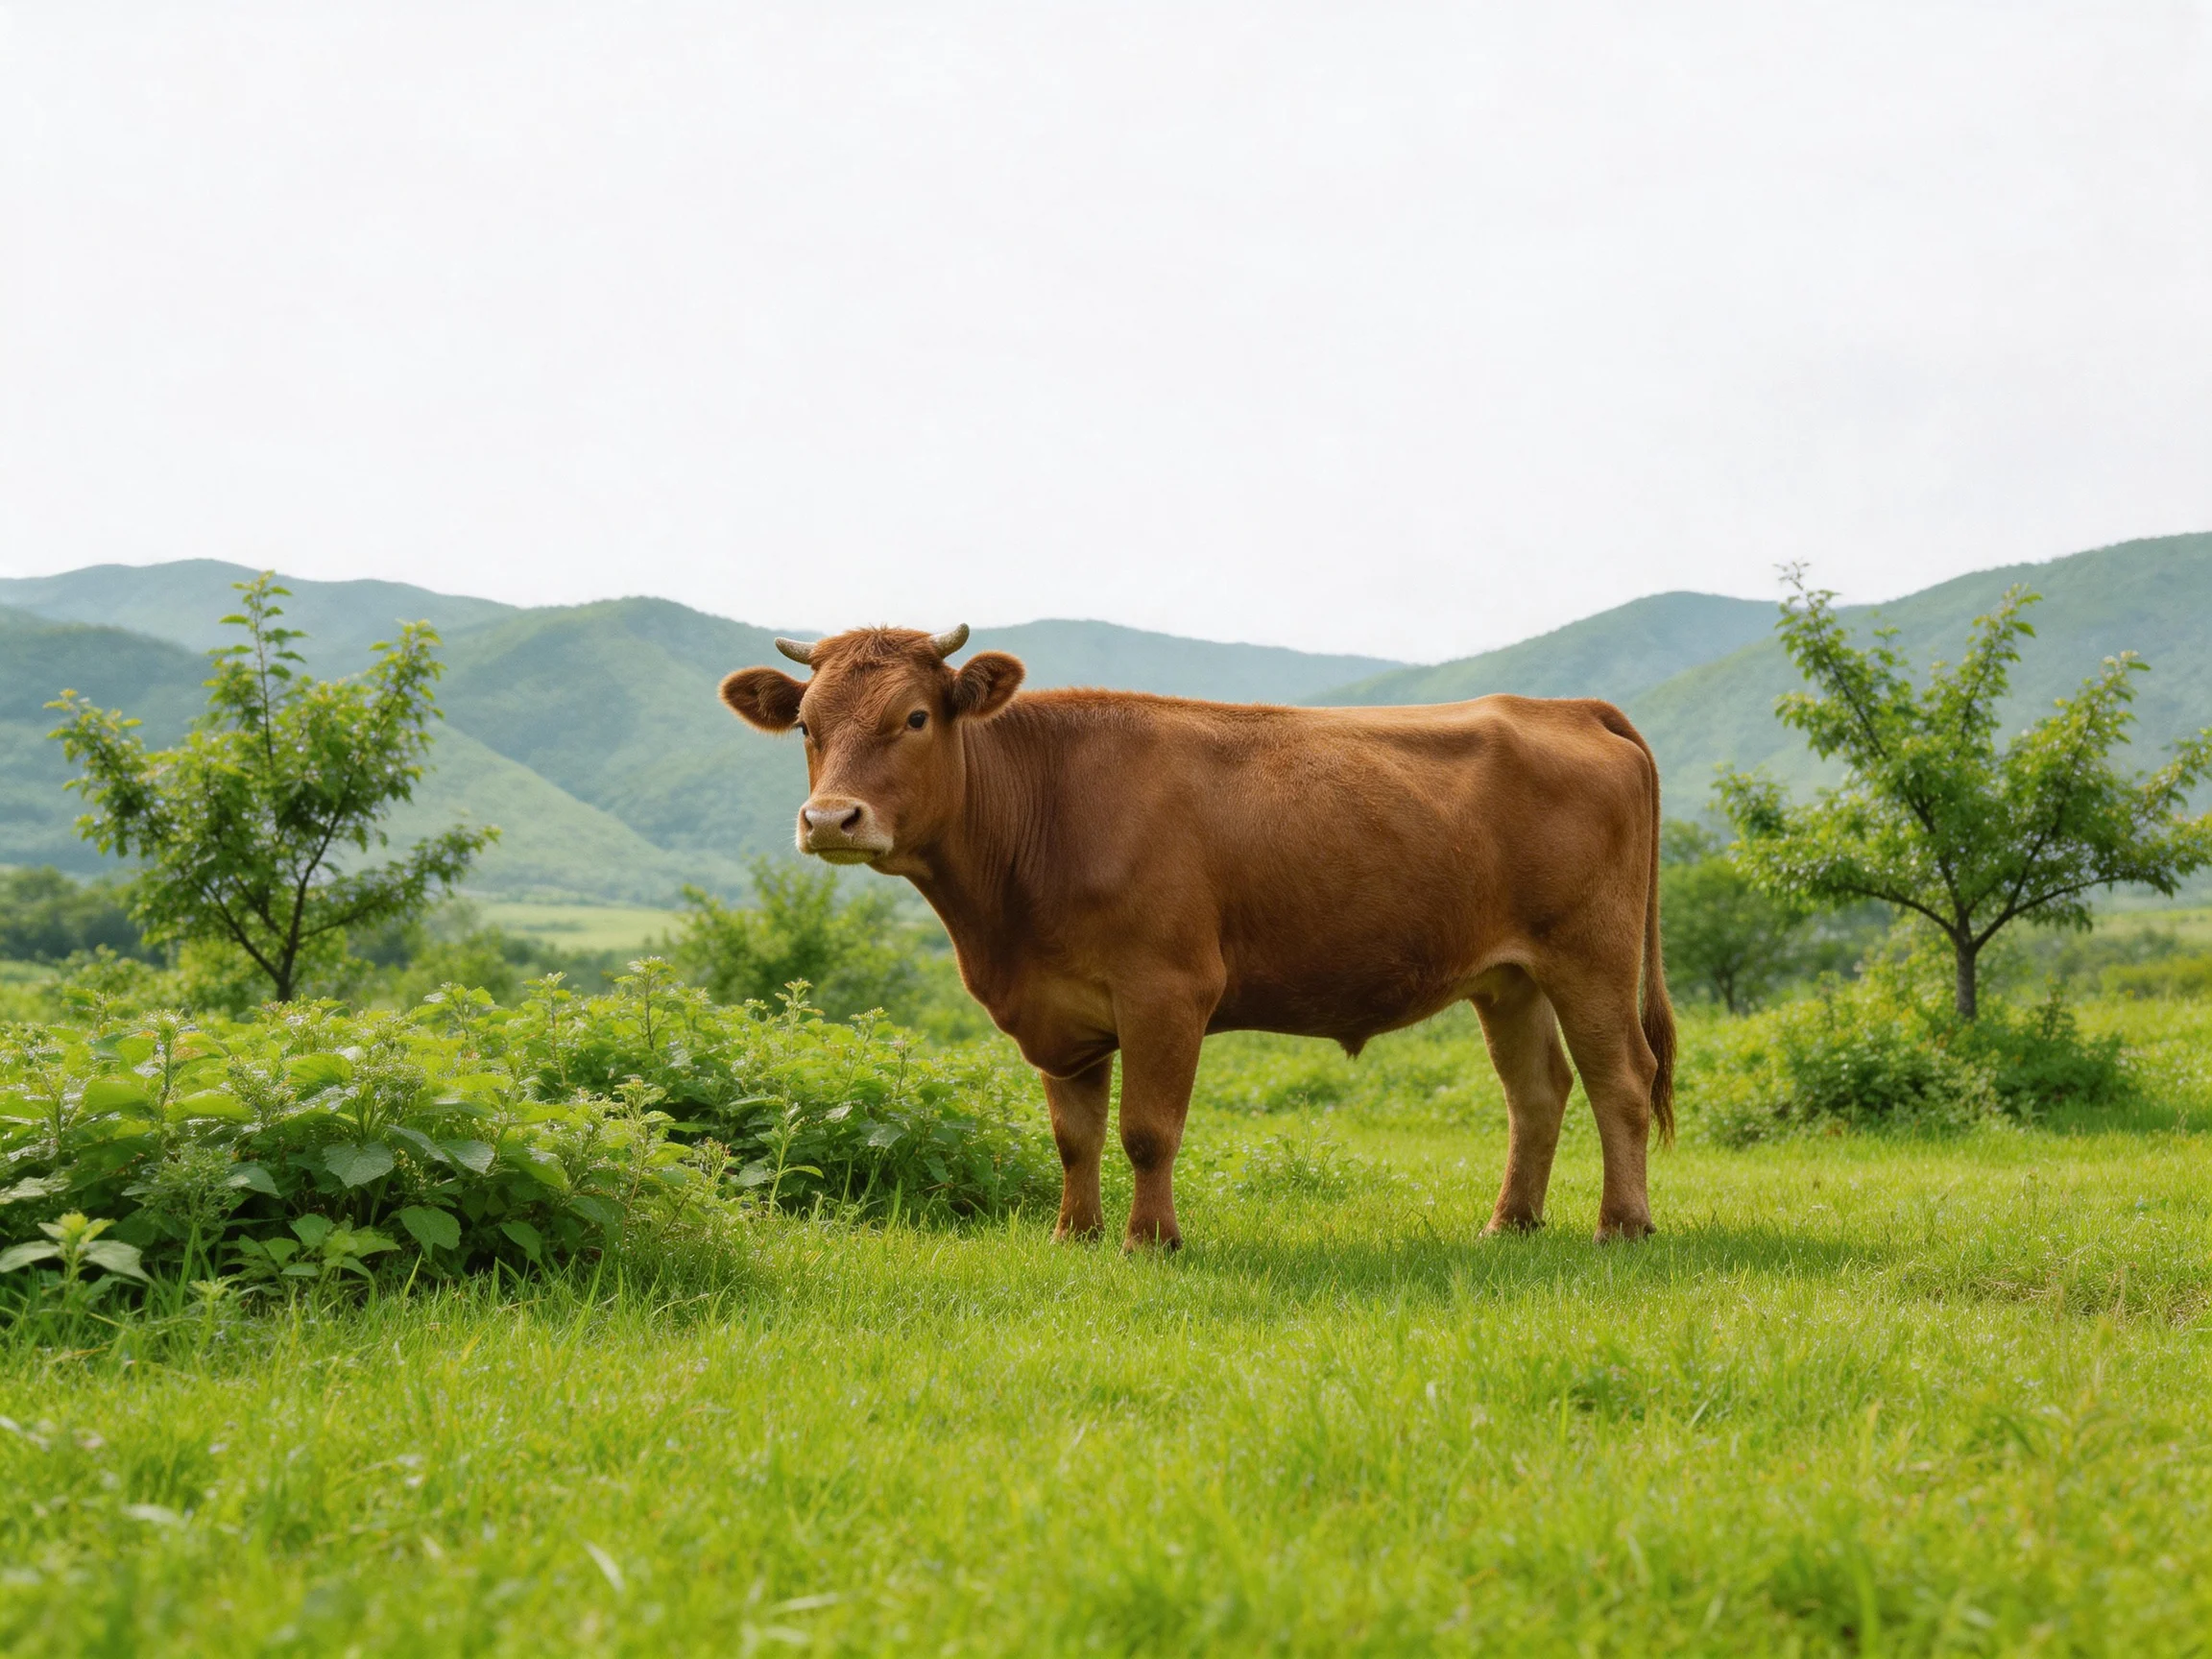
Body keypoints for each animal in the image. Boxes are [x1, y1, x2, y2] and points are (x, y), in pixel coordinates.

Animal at [719, 624, 1674, 1249]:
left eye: (915, 717)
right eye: (805, 725)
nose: (830, 819)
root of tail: (1564, 708)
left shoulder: (1168, 988)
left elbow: (1147, 1129)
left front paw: (1151, 1241)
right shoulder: (1057, 1010)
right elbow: (1074, 1135)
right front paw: (1074, 1236)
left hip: (1590, 955)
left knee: (1622, 1080)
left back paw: (1621, 1226)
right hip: (1509, 977)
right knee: (1538, 1092)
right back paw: (1510, 1224)